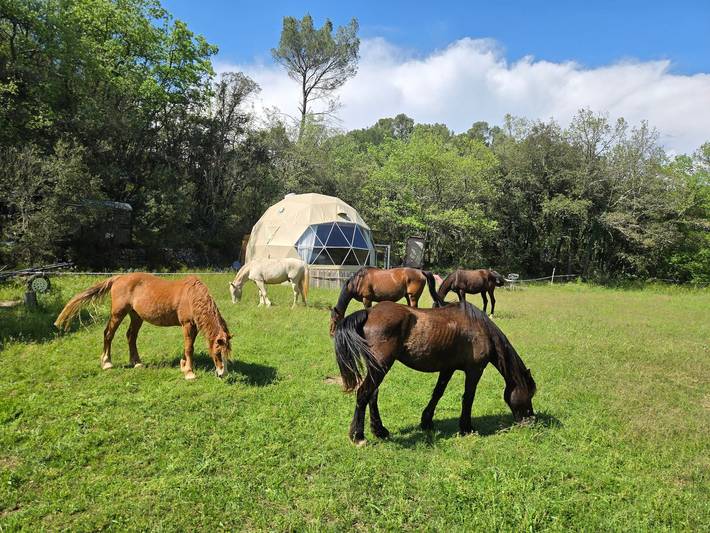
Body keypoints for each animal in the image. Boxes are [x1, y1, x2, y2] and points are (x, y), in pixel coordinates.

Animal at [54, 273, 232, 380]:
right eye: (218, 352)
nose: (222, 374)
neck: (191, 296)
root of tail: (118, 278)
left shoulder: (193, 326)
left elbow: (187, 346)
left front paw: (183, 366)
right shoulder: (187, 324)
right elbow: (189, 348)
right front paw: (189, 372)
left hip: (136, 316)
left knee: (131, 336)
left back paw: (137, 363)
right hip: (118, 313)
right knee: (108, 334)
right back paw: (107, 363)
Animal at [332, 300, 536, 445]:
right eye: (529, 394)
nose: (530, 420)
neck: (480, 328)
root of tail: (369, 312)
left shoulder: (448, 369)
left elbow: (438, 393)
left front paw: (426, 421)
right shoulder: (474, 370)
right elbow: (468, 397)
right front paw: (466, 427)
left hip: (378, 368)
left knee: (372, 395)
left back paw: (380, 431)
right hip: (381, 366)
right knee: (364, 393)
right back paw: (358, 436)